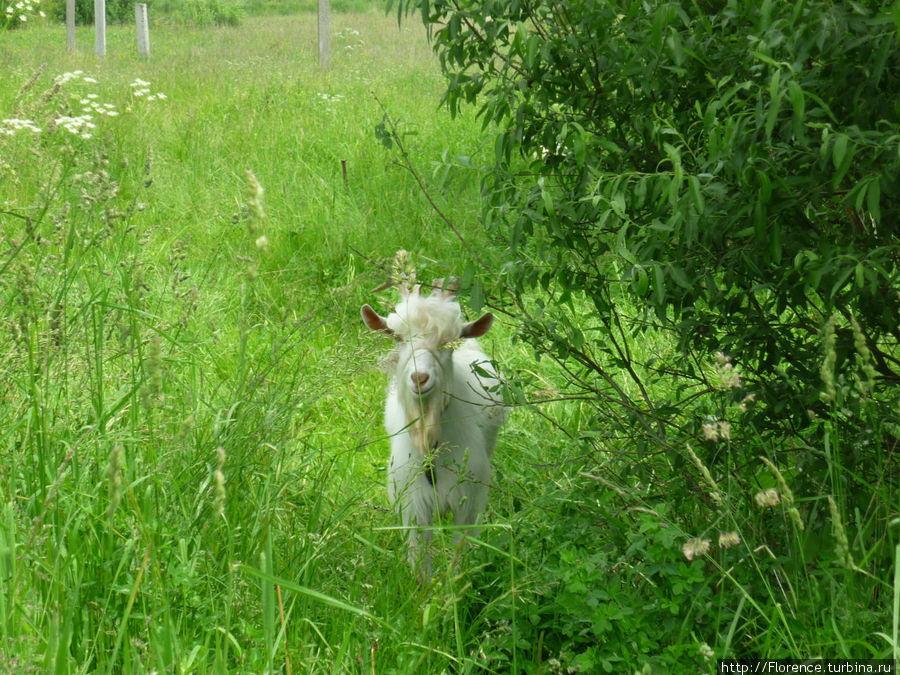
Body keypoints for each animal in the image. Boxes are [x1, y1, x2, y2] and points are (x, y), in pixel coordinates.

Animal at [364, 278, 506, 580]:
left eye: (448, 342)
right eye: (397, 337)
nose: (420, 378)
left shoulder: (468, 498)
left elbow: (459, 552)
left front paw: (454, 587)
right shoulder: (413, 503)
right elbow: (419, 560)